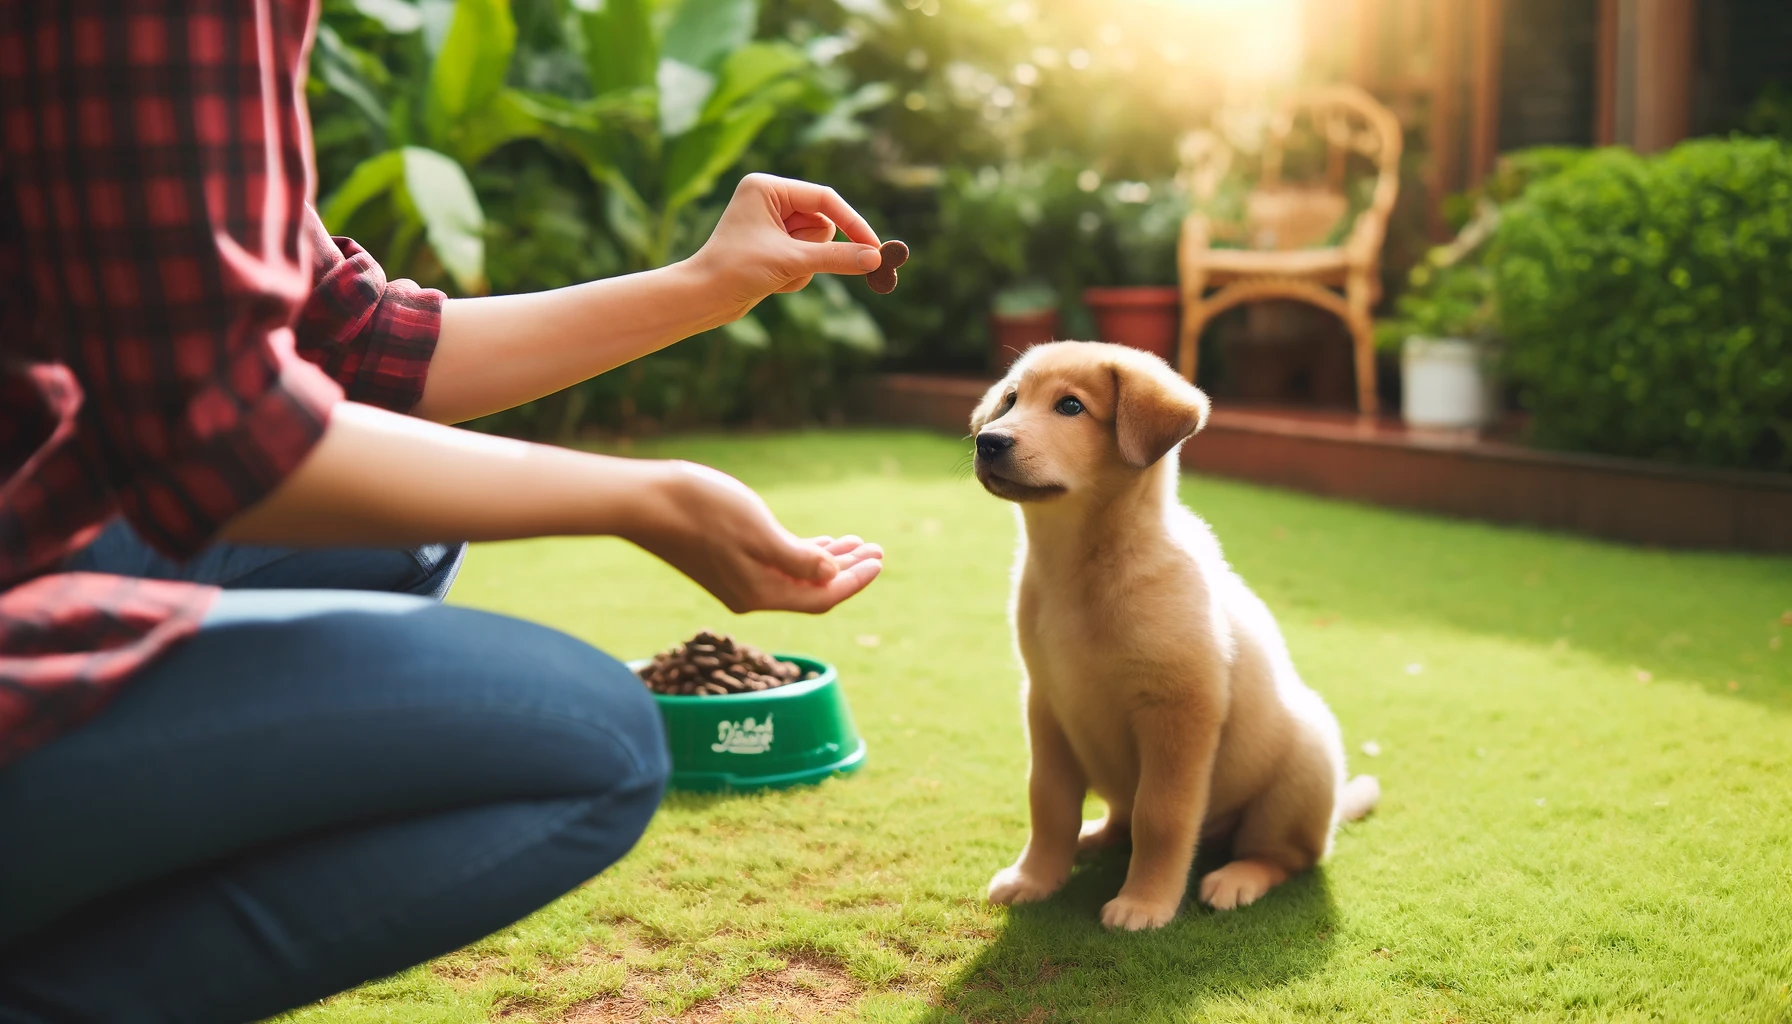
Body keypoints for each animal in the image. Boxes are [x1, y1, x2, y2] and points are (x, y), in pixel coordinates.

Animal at [974, 342, 1376, 932]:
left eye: (1070, 406)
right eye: (1009, 400)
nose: (988, 440)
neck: (1084, 570)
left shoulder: (1180, 711)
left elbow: (1160, 816)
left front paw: (1145, 904)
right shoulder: (1046, 702)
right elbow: (1048, 802)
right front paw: (1035, 877)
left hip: (1300, 771)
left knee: (1286, 856)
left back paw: (1237, 878)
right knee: (1120, 816)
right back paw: (1094, 836)